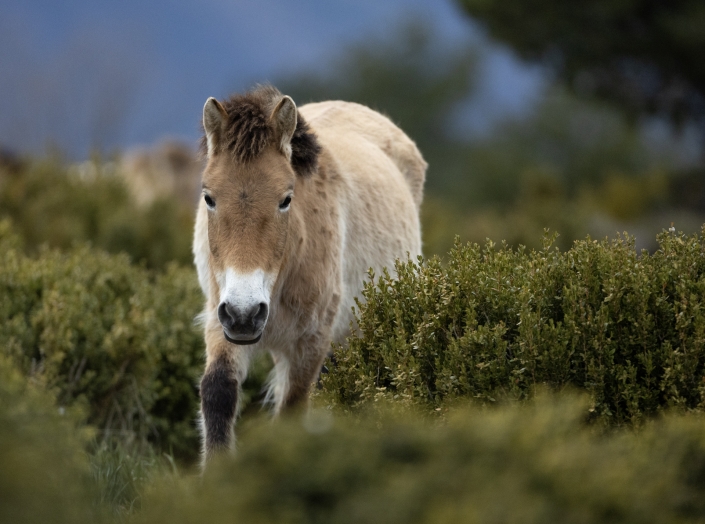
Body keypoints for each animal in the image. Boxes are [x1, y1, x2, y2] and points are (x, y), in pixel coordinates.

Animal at [191, 84, 424, 460]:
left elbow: (293, 410)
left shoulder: (311, 341)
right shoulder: (220, 320)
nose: (245, 315)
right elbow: (218, 393)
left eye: (286, 199)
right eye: (209, 197)